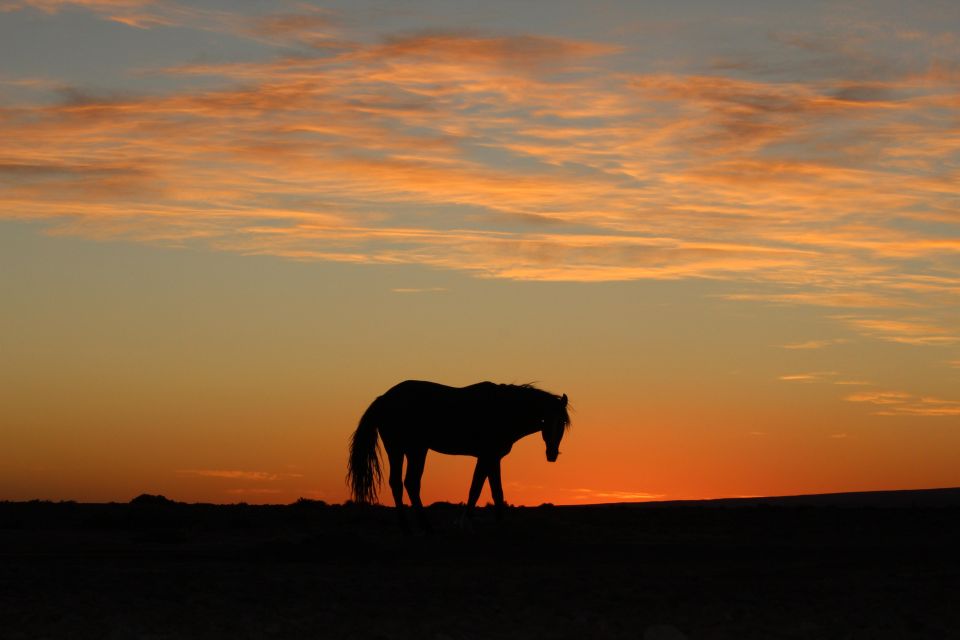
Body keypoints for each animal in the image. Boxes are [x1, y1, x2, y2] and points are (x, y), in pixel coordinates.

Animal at [346, 380, 568, 528]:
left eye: (563, 423)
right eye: (547, 421)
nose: (552, 454)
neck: (502, 410)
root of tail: (384, 399)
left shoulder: (491, 457)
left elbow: (490, 489)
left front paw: (495, 520)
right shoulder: (488, 456)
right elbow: (480, 489)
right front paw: (470, 520)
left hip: (401, 450)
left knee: (398, 483)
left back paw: (406, 524)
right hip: (415, 449)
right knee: (411, 482)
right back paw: (424, 524)